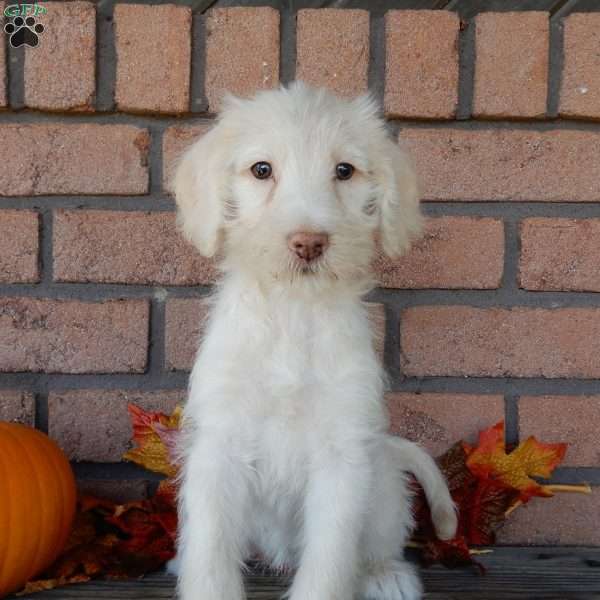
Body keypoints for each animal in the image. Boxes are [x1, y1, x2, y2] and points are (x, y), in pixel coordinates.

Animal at [171, 83, 458, 600]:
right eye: (261, 169)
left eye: (344, 170)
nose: (309, 243)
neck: (293, 311)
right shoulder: (219, 446)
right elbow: (210, 554)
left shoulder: (342, 453)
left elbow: (329, 560)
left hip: (381, 480)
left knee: (382, 538)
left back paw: (386, 574)